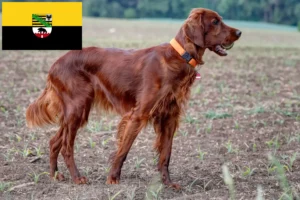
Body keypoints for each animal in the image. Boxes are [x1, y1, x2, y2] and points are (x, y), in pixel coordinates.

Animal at [26, 7, 241, 188]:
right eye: (215, 22)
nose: (239, 33)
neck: (179, 56)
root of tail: (54, 65)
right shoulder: (139, 113)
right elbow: (124, 150)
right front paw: (113, 178)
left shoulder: (169, 116)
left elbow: (166, 154)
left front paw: (168, 183)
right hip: (78, 107)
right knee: (66, 147)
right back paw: (77, 178)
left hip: (75, 110)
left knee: (54, 142)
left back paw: (55, 176)